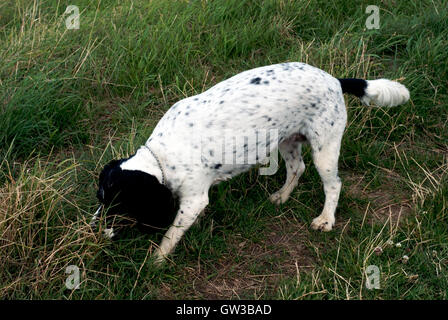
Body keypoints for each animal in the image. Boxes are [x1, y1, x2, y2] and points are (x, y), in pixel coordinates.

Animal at [93, 61, 412, 264]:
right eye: (100, 198)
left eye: (119, 207)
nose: (94, 229)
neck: (161, 155)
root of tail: (335, 80)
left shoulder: (194, 200)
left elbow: (170, 235)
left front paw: (156, 261)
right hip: (287, 141)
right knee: (297, 168)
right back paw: (282, 196)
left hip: (325, 149)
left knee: (333, 185)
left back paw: (326, 219)